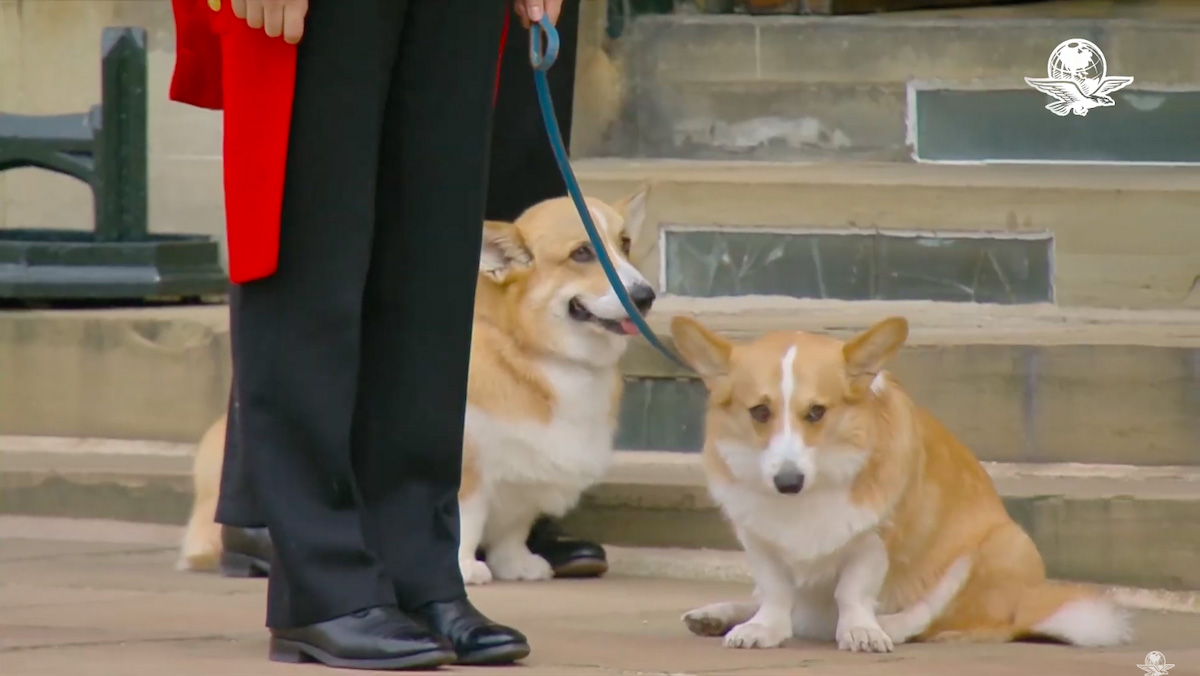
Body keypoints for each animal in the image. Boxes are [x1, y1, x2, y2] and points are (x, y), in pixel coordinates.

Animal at [178, 187, 657, 583]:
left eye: (625, 244)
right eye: (582, 253)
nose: (646, 296)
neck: (529, 349)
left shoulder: (525, 474)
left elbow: (512, 529)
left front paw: (516, 564)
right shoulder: (467, 469)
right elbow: (465, 519)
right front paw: (462, 569)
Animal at [672, 319, 1128, 653]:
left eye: (816, 412)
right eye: (760, 412)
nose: (788, 482)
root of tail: (1029, 606)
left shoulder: (875, 538)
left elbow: (853, 590)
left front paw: (861, 630)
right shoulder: (759, 540)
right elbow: (775, 590)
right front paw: (763, 627)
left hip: (1001, 544)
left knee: (936, 619)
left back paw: (887, 624)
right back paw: (719, 614)